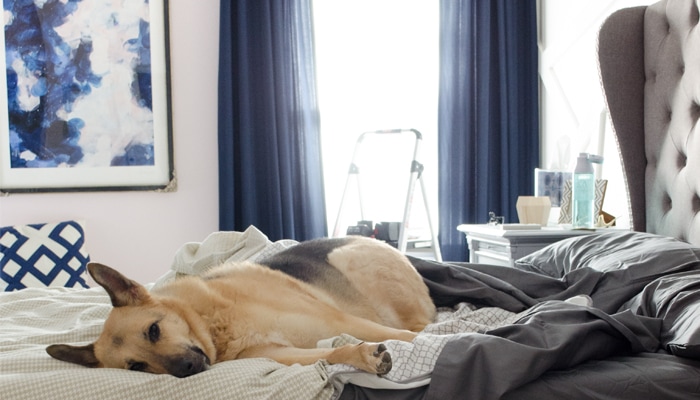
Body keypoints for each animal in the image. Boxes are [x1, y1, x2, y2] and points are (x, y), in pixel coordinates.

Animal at [46, 238, 434, 378]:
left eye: (153, 330)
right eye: (136, 366)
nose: (187, 370)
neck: (214, 322)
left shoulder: (341, 319)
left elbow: (403, 336)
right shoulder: (280, 354)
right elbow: (333, 353)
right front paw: (362, 355)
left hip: (349, 260)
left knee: (418, 326)